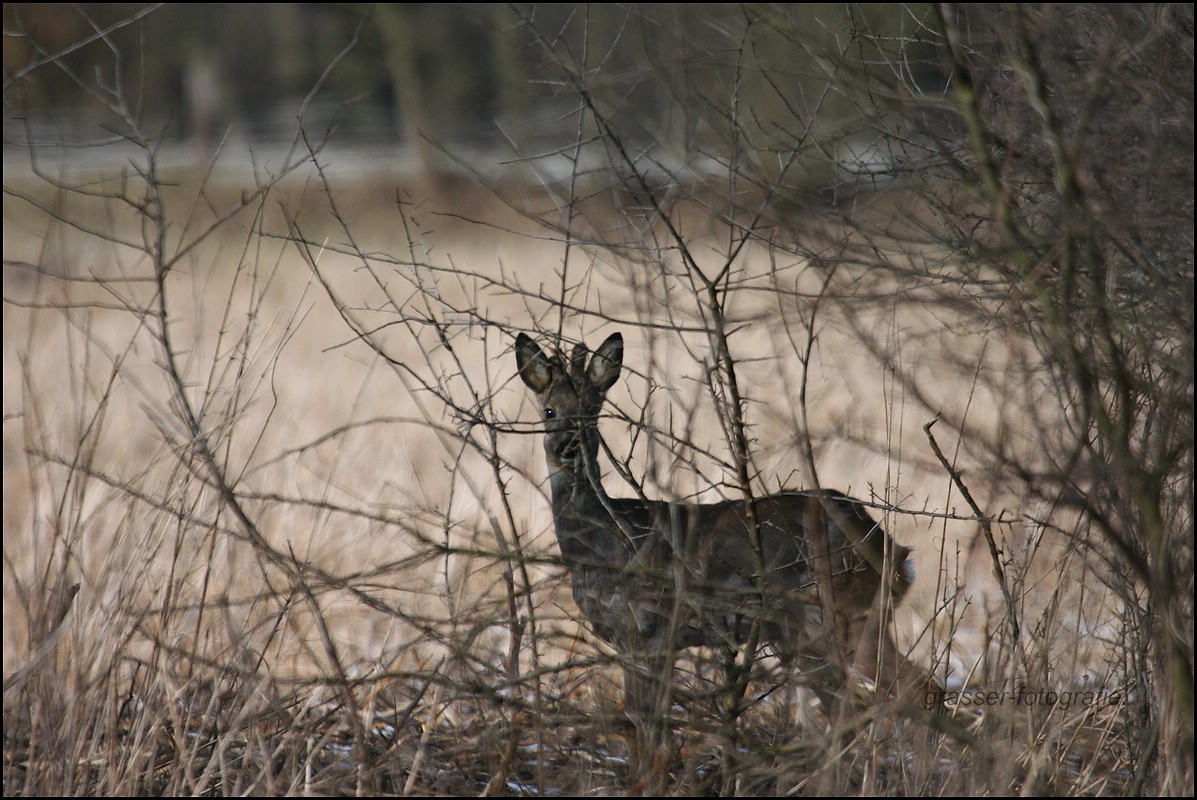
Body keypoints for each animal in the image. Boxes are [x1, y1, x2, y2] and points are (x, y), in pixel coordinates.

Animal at [517, 330, 914, 761]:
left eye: (592, 410)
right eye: (549, 411)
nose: (567, 447)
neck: (600, 545)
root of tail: (893, 551)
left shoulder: (652, 625)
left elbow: (644, 721)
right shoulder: (629, 637)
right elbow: (638, 722)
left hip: (841, 613)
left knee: (903, 691)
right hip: (809, 631)